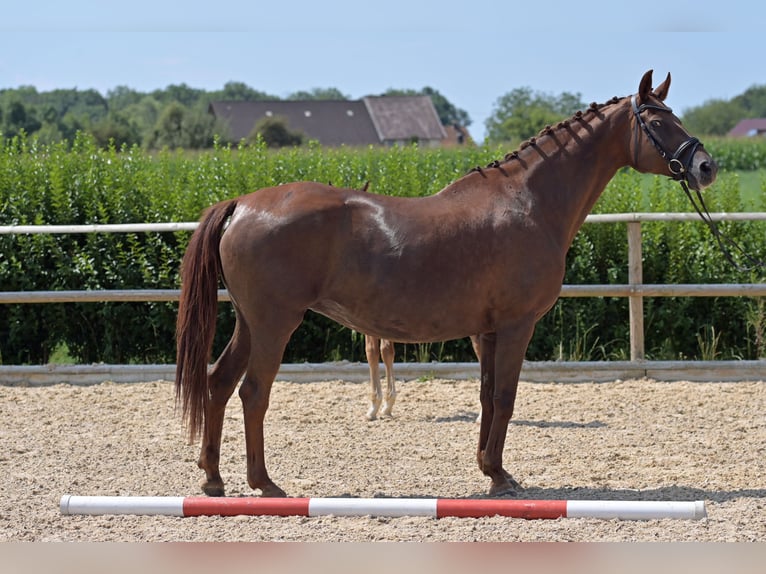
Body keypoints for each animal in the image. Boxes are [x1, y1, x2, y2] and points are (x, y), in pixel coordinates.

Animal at [176, 70, 720, 498]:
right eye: (656, 121)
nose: (706, 166)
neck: (527, 202)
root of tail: (242, 204)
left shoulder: (487, 331)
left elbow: (487, 397)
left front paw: (489, 469)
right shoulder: (517, 326)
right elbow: (506, 397)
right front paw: (501, 477)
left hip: (249, 322)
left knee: (218, 383)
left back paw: (213, 479)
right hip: (274, 323)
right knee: (253, 392)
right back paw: (264, 483)